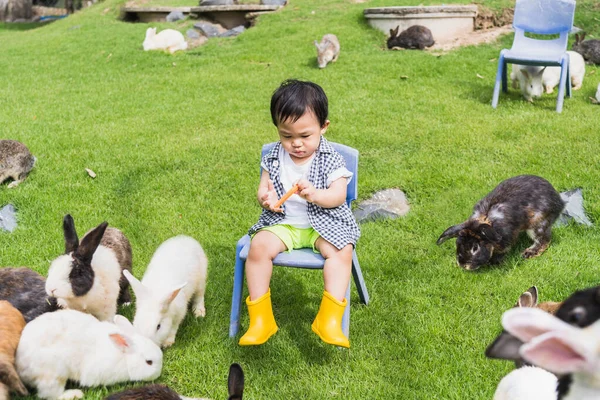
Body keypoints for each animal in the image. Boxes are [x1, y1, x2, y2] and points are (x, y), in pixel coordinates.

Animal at [436, 176, 592, 272]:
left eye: (475, 248)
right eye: (458, 244)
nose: (463, 265)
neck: (487, 220)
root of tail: (561, 202)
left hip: (537, 225)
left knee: (544, 240)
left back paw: (528, 254)